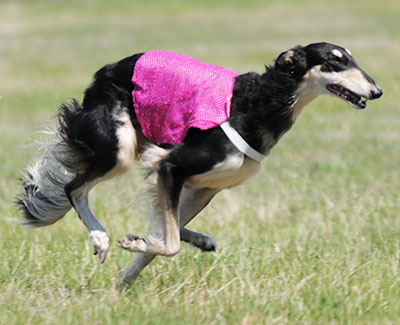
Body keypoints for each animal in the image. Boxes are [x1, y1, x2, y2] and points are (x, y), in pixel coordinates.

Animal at [18, 42, 382, 284]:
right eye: (334, 61)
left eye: (351, 58)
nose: (377, 91)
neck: (258, 104)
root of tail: (105, 71)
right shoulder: (170, 165)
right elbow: (169, 244)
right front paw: (133, 243)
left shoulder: (205, 186)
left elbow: (165, 235)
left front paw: (126, 278)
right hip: (118, 150)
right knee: (74, 187)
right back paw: (100, 238)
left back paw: (198, 240)